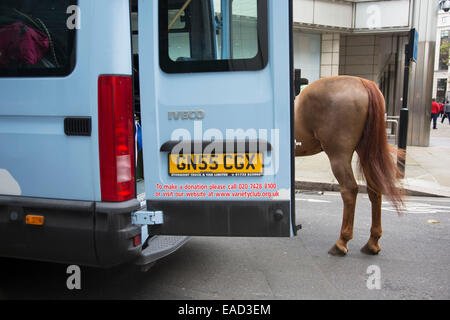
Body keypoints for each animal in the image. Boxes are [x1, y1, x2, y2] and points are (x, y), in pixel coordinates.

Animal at [296, 75, 404, 258]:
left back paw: (341, 242)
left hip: (339, 154)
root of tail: (362, 83)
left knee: (349, 190)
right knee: (374, 190)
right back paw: (372, 242)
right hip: (367, 152)